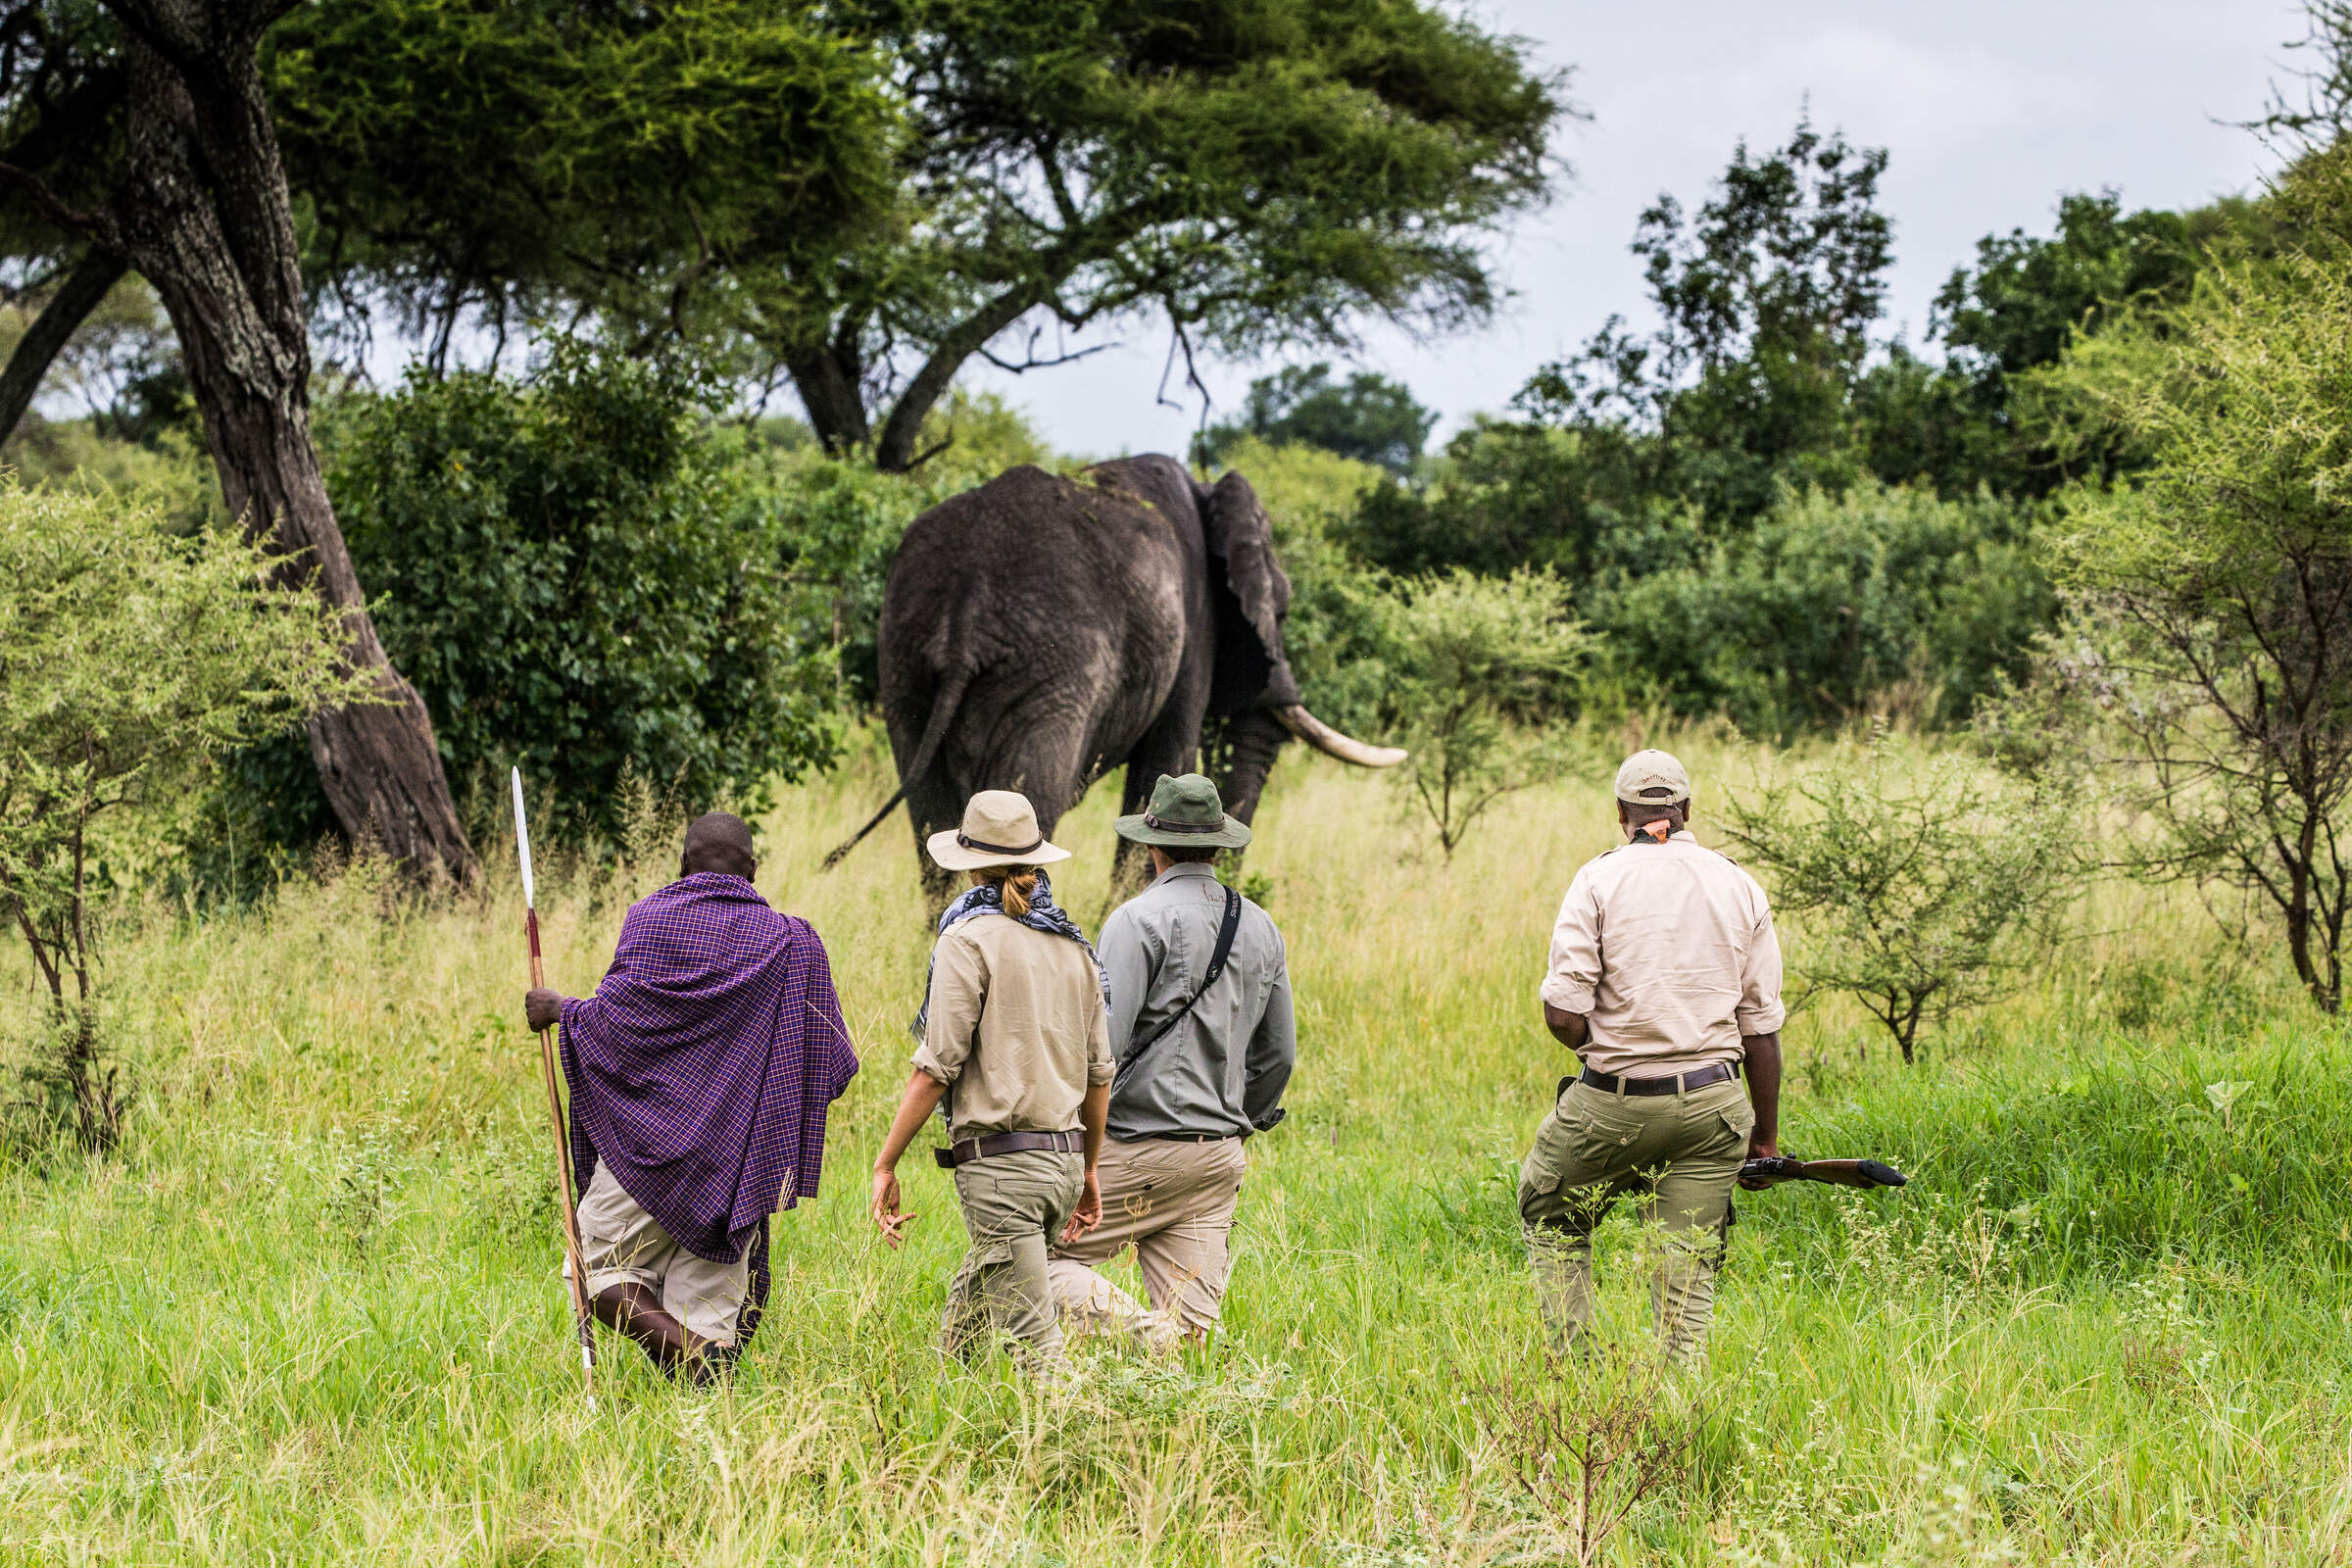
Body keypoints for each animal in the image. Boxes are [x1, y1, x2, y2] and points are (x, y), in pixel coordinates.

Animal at [832, 453, 1392, 893]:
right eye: (1283, 610)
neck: (1206, 490)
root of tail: (964, 601)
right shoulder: (1194, 632)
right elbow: (1165, 764)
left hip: (904, 657)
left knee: (930, 815)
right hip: (1053, 674)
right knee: (1031, 796)